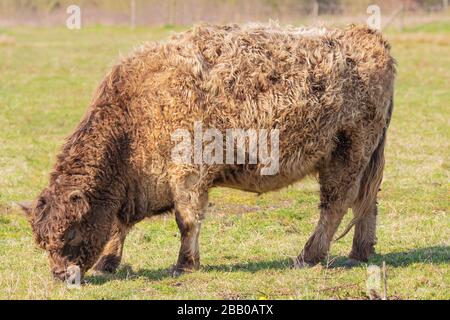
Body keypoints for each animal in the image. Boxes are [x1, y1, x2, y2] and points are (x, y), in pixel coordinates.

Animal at [19, 23, 396, 282]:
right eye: (41, 241)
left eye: (70, 232)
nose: (60, 275)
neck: (134, 111)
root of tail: (367, 36)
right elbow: (119, 225)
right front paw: (107, 263)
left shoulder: (189, 174)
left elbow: (186, 220)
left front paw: (185, 264)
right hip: (365, 161)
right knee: (367, 202)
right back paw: (359, 253)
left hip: (346, 156)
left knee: (335, 205)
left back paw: (309, 255)